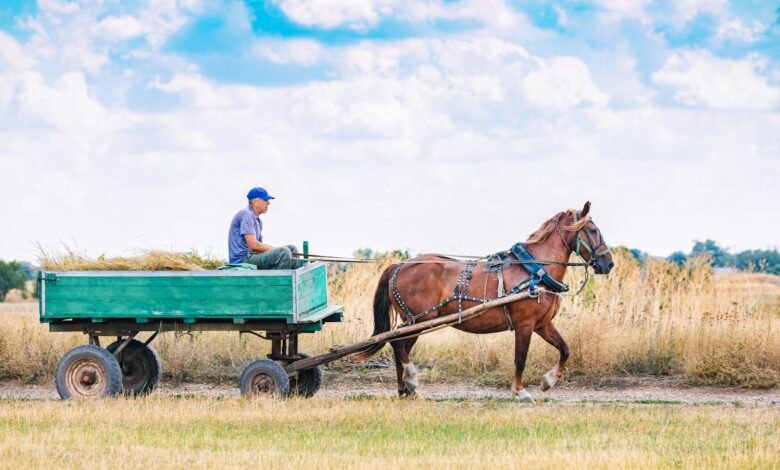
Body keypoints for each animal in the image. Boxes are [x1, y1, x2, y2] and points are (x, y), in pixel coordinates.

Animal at [354, 201, 614, 403]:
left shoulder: (542, 325)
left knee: (400, 348)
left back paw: (405, 390)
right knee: (397, 343)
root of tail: (400, 266)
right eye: (593, 230)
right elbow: (520, 359)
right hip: (418, 319)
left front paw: (547, 382)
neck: (535, 269)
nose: (608, 264)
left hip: (417, 322)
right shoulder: (525, 325)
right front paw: (520, 392)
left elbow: (565, 349)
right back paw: (411, 379)